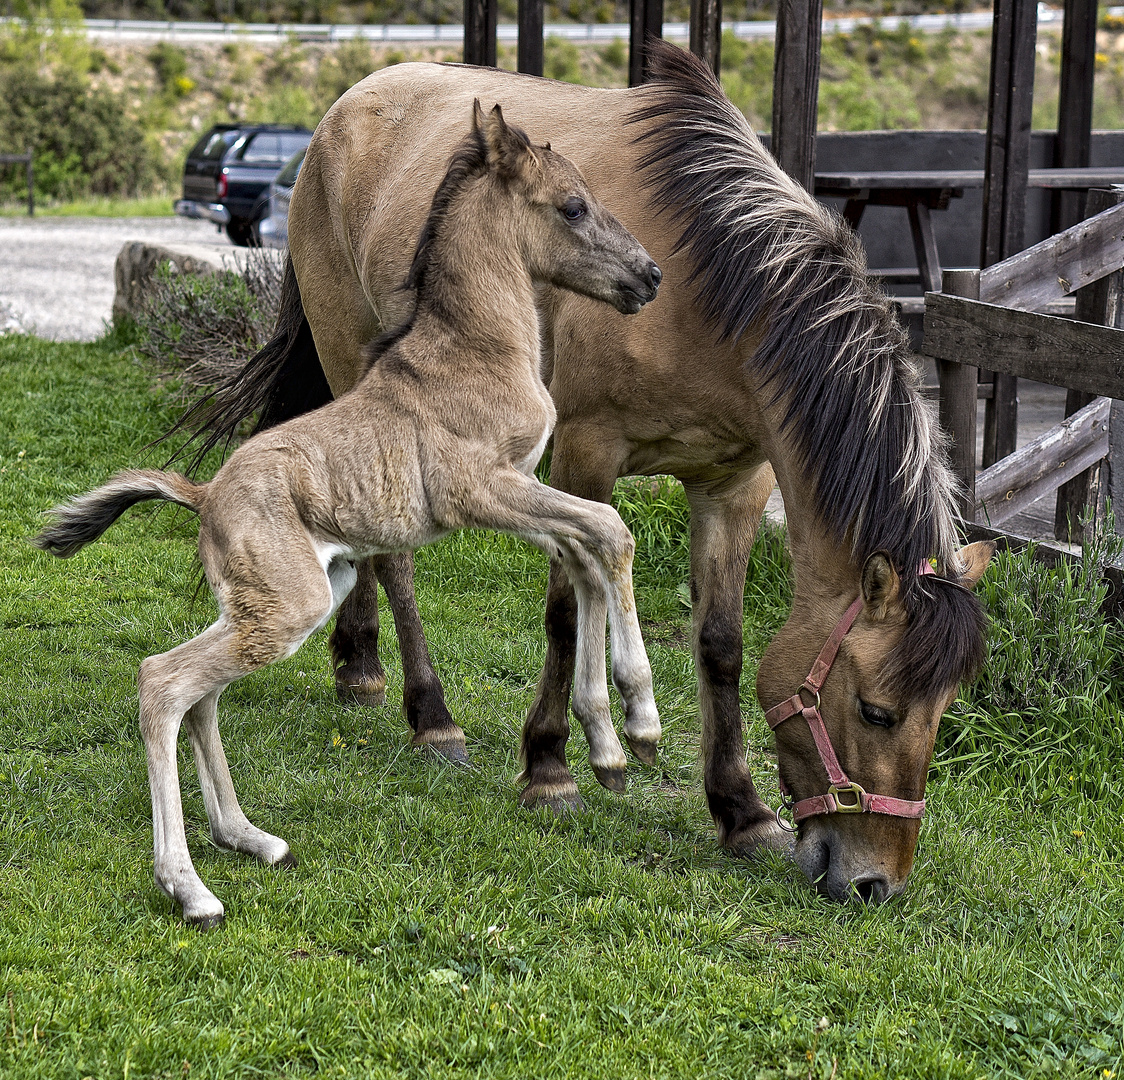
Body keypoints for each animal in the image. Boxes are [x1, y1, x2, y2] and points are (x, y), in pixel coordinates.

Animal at [39, 103, 660, 926]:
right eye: (572, 207)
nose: (649, 276)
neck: (478, 349)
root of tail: (205, 496)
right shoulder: (482, 491)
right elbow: (609, 532)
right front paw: (640, 726)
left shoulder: (521, 493)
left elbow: (587, 550)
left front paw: (606, 751)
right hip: (288, 605)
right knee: (162, 683)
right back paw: (190, 886)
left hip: (290, 599)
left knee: (200, 695)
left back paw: (249, 837)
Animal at [182, 42, 993, 903]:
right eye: (876, 712)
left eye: (943, 713)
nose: (876, 885)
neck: (716, 289)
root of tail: (345, 106)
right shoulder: (585, 455)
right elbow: (566, 611)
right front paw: (552, 767)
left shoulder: (736, 485)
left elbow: (722, 644)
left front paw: (740, 811)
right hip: (352, 361)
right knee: (396, 558)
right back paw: (430, 714)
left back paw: (359, 664)